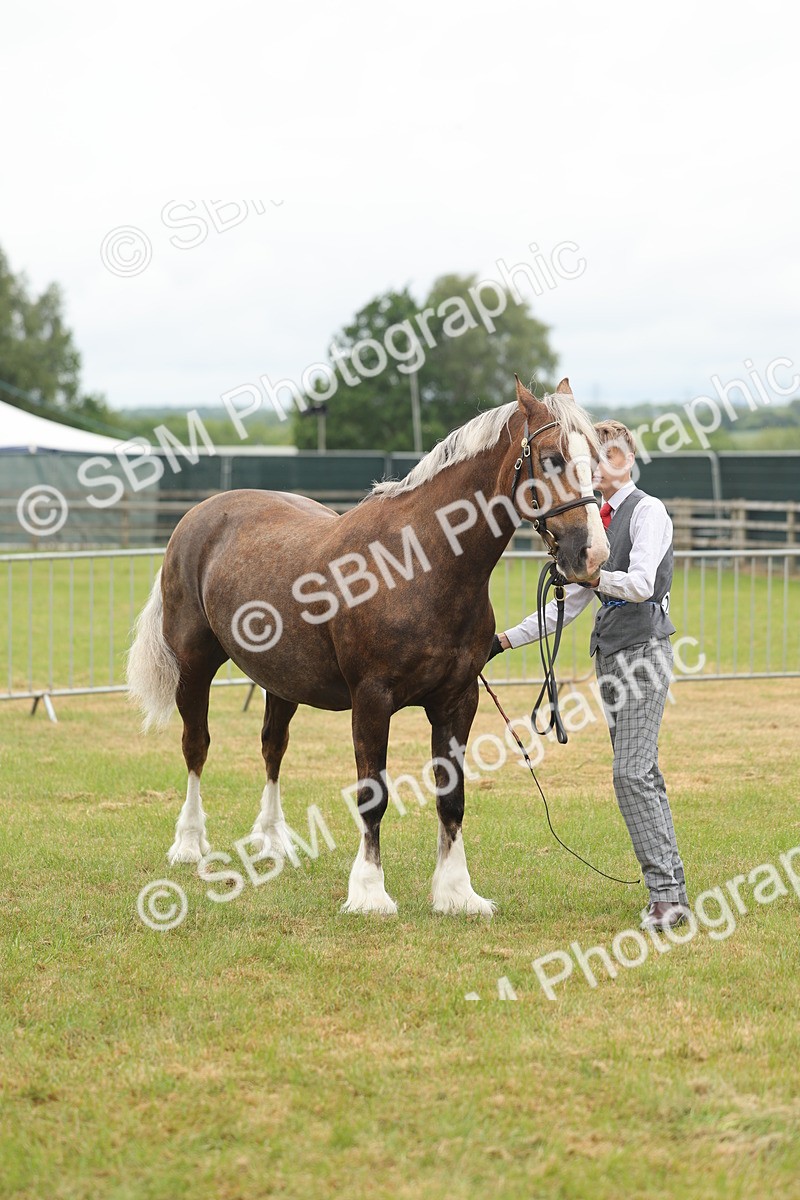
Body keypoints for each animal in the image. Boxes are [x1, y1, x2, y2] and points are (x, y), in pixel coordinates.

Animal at [126, 377, 608, 916]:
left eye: (597, 457)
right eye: (551, 459)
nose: (592, 554)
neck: (418, 563)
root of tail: (197, 515)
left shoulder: (457, 701)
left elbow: (452, 797)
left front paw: (457, 892)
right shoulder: (372, 701)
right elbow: (372, 794)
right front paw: (370, 893)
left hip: (282, 681)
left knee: (273, 747)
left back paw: (273, 841)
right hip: (193, 666)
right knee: (197, 746)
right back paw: (189, 844)